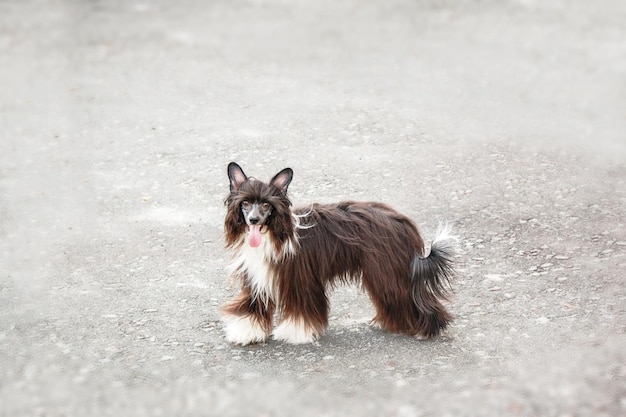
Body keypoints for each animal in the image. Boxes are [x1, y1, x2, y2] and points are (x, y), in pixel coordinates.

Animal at [219, 162, 454, 344]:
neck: (273, 234)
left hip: (388, 273)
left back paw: (427, 329)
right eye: (245, 203)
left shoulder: (302, 279)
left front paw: (296, 332)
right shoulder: (257, 275)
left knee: (410, 297)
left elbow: (302, 308)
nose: (253, 220)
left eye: (267, 205)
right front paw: (247, 332)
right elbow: (252, 304)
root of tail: (404, 223)